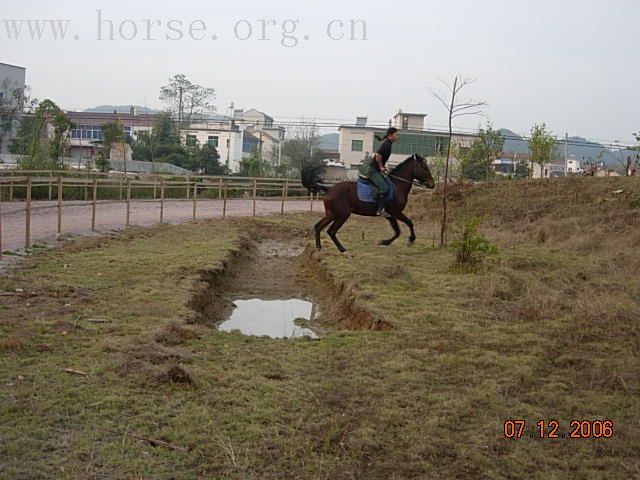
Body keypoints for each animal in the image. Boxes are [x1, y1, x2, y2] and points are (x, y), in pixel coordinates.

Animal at [300, 155, 436, 253]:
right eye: (424, 168)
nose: (432, 184)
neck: (397, 185)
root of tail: (329, 189)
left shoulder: (393, 215)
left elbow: (407, 225)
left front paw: (409, 240)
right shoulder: (394, 214)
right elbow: (400, 230)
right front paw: (385, 242)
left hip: (331, 214)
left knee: (318, 227)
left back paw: (319, 247)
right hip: (342, 215)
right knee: (331, 231)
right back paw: (342, 249)